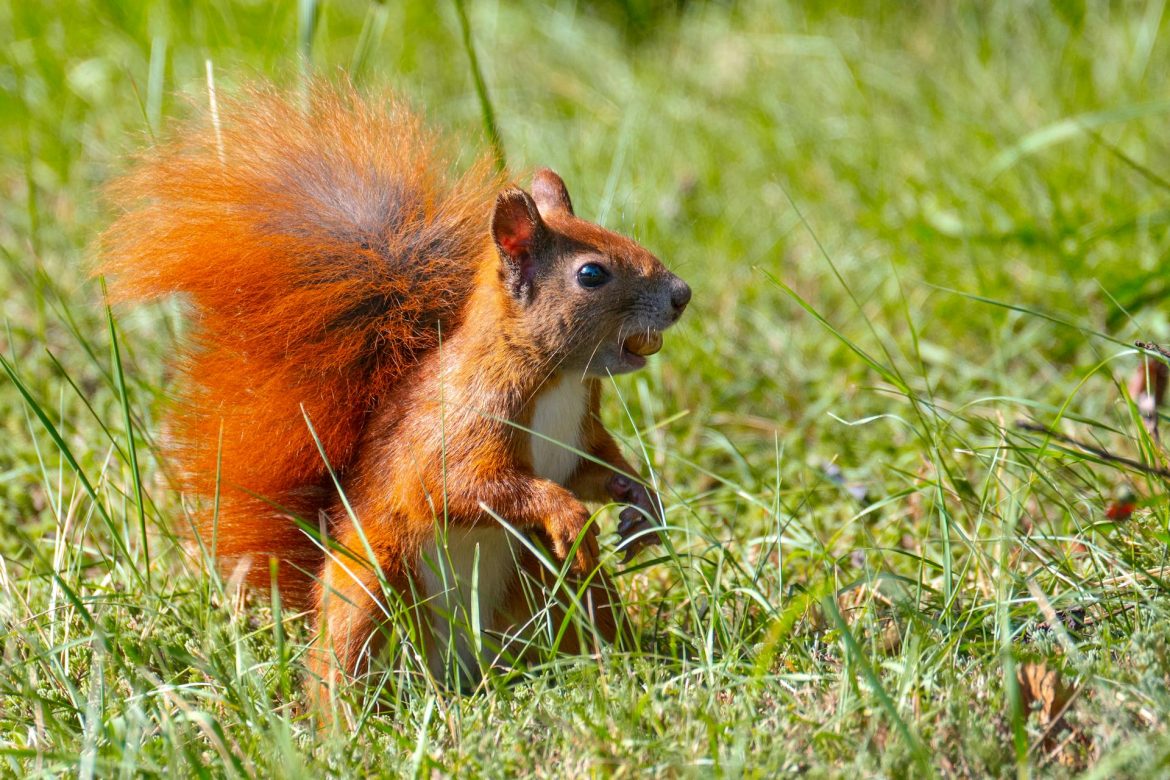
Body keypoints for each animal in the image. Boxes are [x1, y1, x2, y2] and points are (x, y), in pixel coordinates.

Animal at [98, 81, 690, 694]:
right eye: (591, 274)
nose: (682, 295)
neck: (558, 379)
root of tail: (459, 671)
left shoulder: (580, 433)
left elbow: (594, 469)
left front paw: (642, 504)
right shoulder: (461, 427)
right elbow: (462, 488)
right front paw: (567, 513)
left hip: (551, 586)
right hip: (371, 582)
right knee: (344, 654)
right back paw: (341, 709)